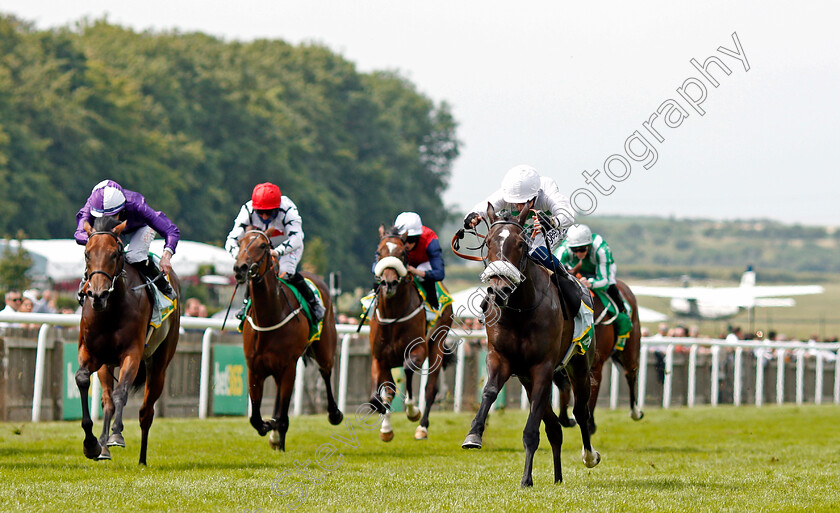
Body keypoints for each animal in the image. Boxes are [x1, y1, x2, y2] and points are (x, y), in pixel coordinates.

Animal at [76, 216, 180, 464]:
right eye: (87, 253)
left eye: (114, 254)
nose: (97, 295)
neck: (110, 310)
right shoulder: (91, 352)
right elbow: (83, 380)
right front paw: (91, 444)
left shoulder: (132, 353)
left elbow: (121, 392)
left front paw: (116, 435)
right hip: (106, 364)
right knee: (107, 402)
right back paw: (103, 449)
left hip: (159, 364)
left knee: (146, 412)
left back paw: (141, 459)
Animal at [231, 227, 342, 448]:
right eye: (240, 243)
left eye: (263, 246)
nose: (241, 268)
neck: (269, 317)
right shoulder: (255, 368)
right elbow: (255, 418)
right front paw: (268, 425)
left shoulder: (289, 366)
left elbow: (282, 417)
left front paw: (275, 431)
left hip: (324, 349)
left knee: (325, 373)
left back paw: (334, 414)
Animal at [370, 225, 456, 440]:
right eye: (379, 253)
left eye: (402, 253)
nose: (389, 283)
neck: (393, 316)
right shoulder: (379, 357)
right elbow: (384, 392)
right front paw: (386, 428)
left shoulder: (418, 349)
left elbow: (408, 369)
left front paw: (412, 411)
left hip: (437, 342)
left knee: (431, 388)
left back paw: (422, 427)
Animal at [456, 202, 600, 486]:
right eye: (488, 242)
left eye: (521, 244)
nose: (499, 290)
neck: (520, 310)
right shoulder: (500, 358)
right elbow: (489, 392)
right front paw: (473, 434)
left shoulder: (542, 366)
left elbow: (532, 429)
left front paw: (526, 479)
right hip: (526, 378)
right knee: (554, 427)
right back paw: (557, 477)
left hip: (578, 365)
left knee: (580, 411)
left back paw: (589, 456)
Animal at [560, 280, 648, 432]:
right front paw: (569, 419)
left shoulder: (595, 365)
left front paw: (589, 424)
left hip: (631, 349)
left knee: (630, 374)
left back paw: (635, 412)